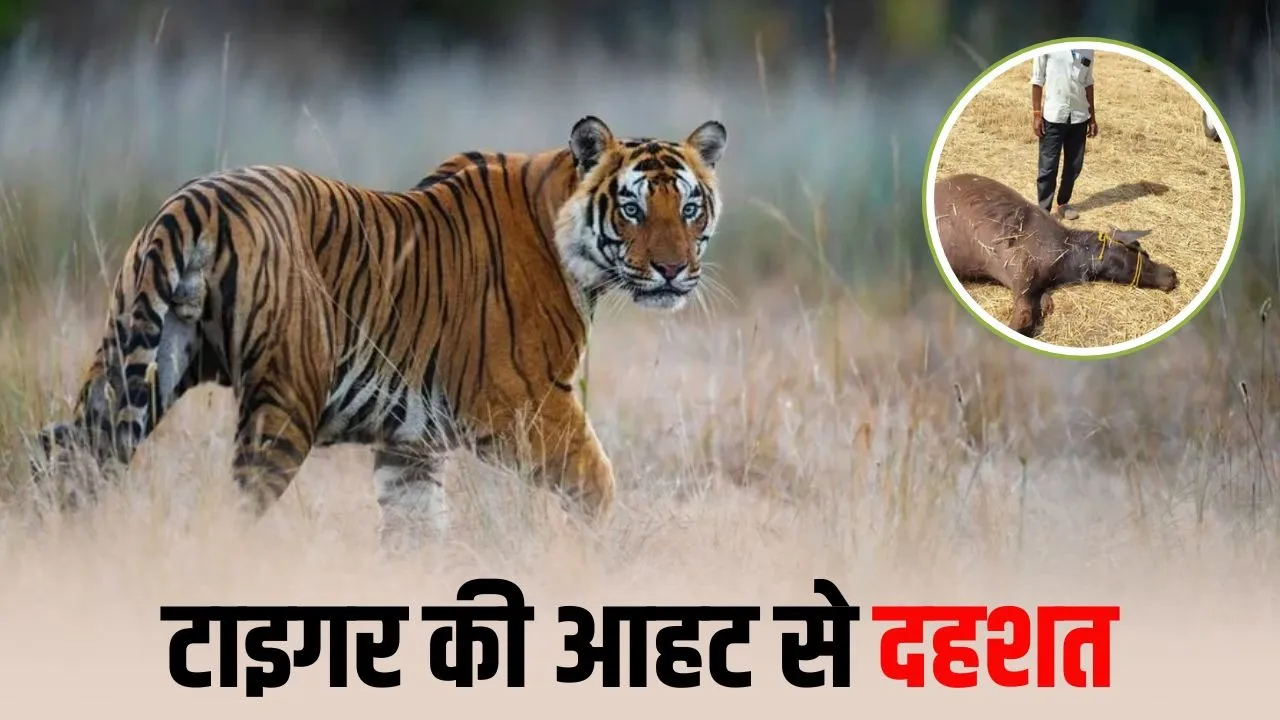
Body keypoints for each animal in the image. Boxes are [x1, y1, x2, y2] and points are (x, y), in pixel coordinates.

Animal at [29, 115, 728, 549]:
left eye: (689, 207)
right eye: (632, 207)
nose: (673, 270)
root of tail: (196, 201)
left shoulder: (411, 443)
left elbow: (416, 534)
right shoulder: (525, 405)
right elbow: (596, 485)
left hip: (135, 366)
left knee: (58, 453)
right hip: (284, 401)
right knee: (232, 509)